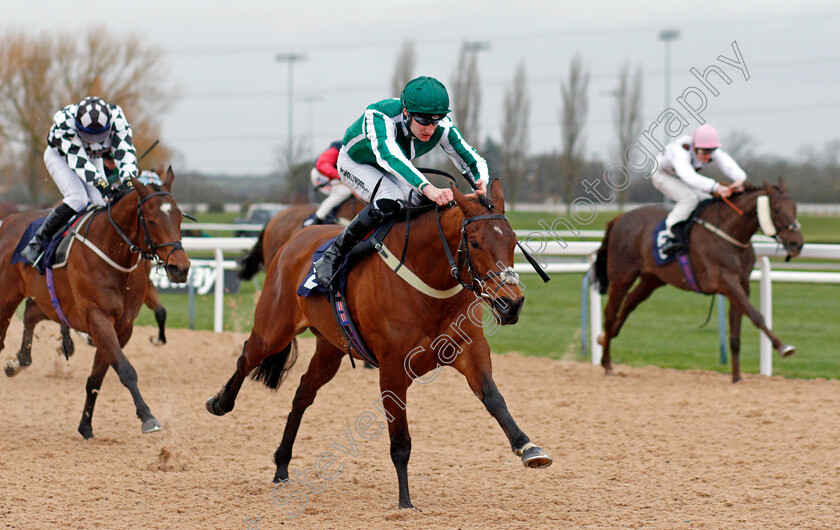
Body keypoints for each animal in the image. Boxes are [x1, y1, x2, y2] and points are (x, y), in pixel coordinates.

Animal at [0, 169, 190, 438]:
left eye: (179, 217)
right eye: (151, 220)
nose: (180, 268)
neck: (111, 251)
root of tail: (8, 221)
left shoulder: (122, 326)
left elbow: (96, 378)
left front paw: (85, 426)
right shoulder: (98, 318)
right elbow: (126, 370)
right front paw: (147, 416)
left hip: (49, 299)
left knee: (31, 313)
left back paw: (18, 362)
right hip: (6, 297)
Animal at [592, 179, 804, 382]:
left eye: (795, 208)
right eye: (776, 209)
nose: (797, 243)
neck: (728, 233)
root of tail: (619, 218)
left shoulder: (741, 285)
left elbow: (736, 333)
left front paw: (736, 378)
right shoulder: (726, 281)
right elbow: (756, 315)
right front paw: (784, 346)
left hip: (652, 279)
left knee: (629, 302)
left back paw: (604, 339)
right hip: (622, 275)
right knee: (610, 313)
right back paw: (607, 363)